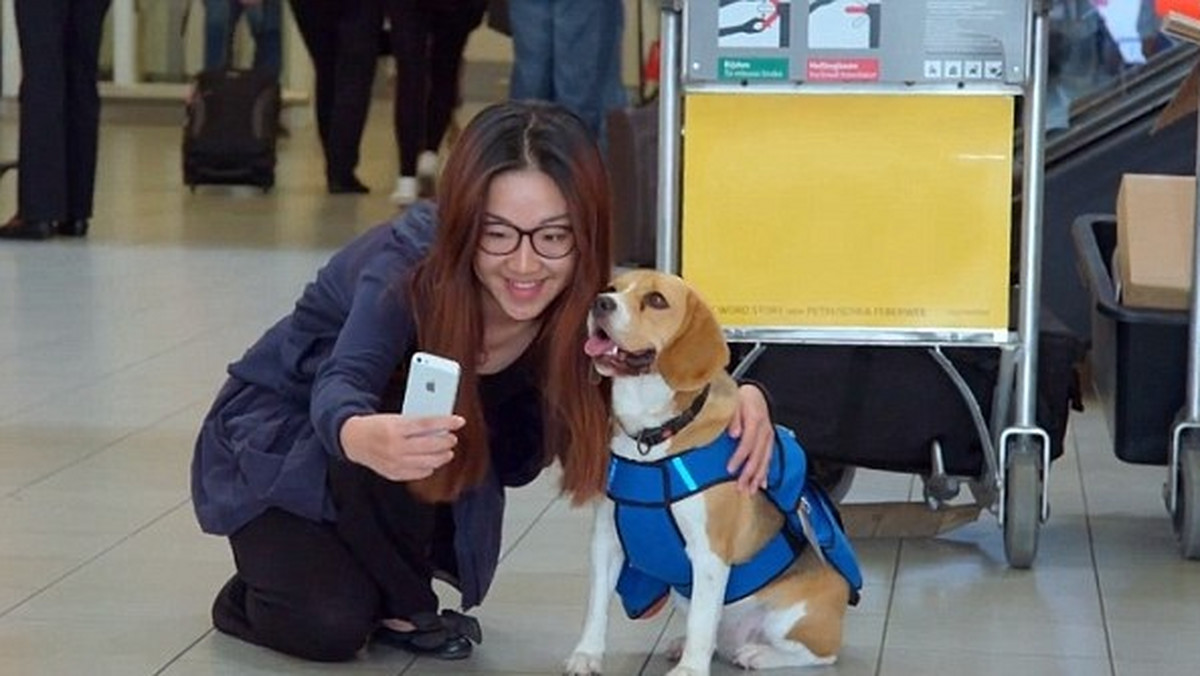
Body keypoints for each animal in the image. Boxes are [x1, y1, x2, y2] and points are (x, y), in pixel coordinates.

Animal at [566, 271, 859, 676]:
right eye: (612, 288)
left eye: (656, 300)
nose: (600, 303)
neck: (652, 437)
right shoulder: (606, 541)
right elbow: (597, 607)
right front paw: (587, 654)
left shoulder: (708, 554)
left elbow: (702, 622)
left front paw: (690, 670)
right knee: (716, 636)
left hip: (794, 615)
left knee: (819, 653)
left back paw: (758, 654)